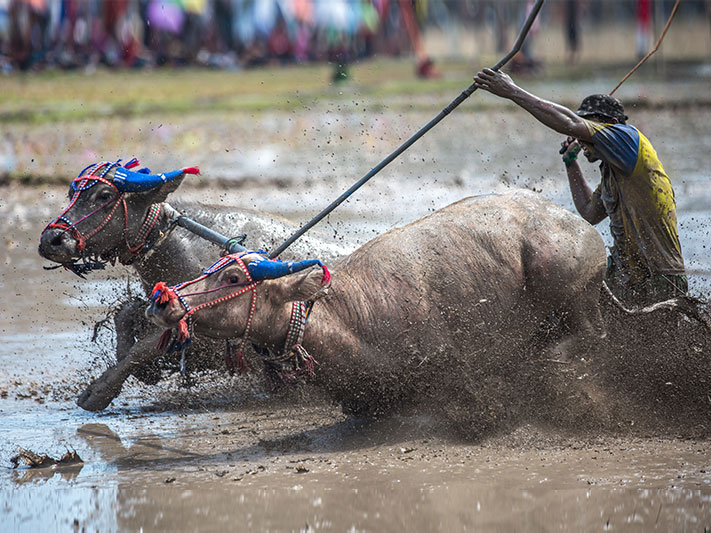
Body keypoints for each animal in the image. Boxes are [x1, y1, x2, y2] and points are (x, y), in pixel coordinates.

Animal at [39, 159, 350, 412]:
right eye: (71, 194)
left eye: (103, 195)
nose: (52, 240)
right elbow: (126, 312)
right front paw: (146, 370)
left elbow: (145, 347)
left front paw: (98, 392)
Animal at [147, 191, 608, 420]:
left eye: (234, 278)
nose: (161, 302)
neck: (351, 315)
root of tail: (583, 229)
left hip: (570, 286)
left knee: (588, 337)